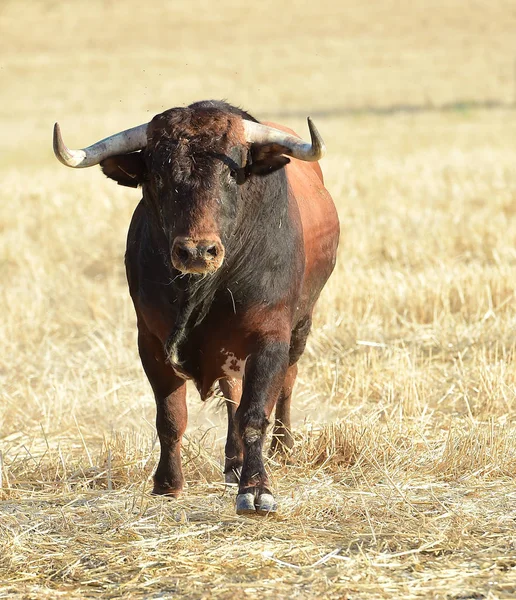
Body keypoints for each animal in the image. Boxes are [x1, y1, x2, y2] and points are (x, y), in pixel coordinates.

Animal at [54, 101, 340, 512]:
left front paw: (257, 489)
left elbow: (256, 412)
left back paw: (282, 448)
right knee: (232, 393)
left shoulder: (272, 336)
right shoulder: (151, 341)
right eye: (158, 175)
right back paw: (233, 462)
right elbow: (171, 417)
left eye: (233, 171)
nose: (197, 251)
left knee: (286, 382)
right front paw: (167, 483)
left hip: (301, 325)